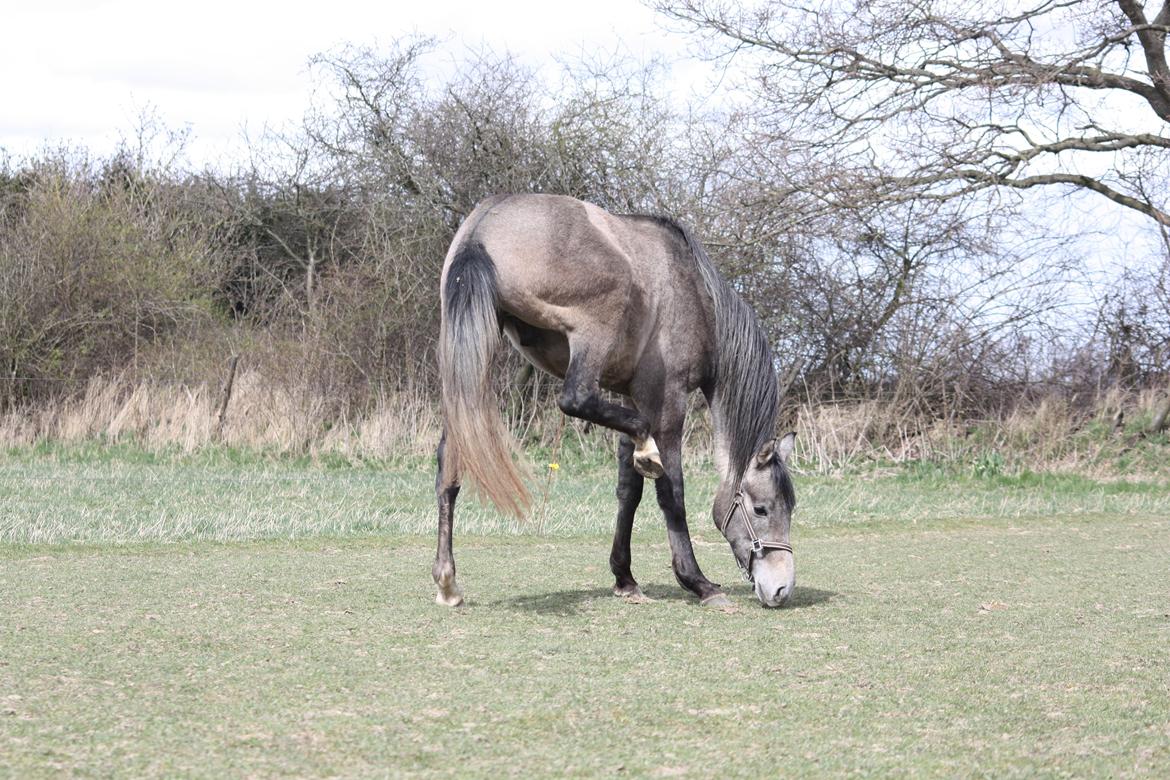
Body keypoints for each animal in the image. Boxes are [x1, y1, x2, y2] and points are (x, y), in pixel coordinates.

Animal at [435, 191, 800, 608]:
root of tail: (482, 227)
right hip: (592, 333)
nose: (781, 588)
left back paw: (447, 582)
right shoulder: (666, 400)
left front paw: (624, 577)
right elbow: (671, 492)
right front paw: (698, 582)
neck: (697, 297)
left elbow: (629, 490)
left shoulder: (630, 396)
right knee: (575, 399)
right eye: (761, 508)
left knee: (449, 466)